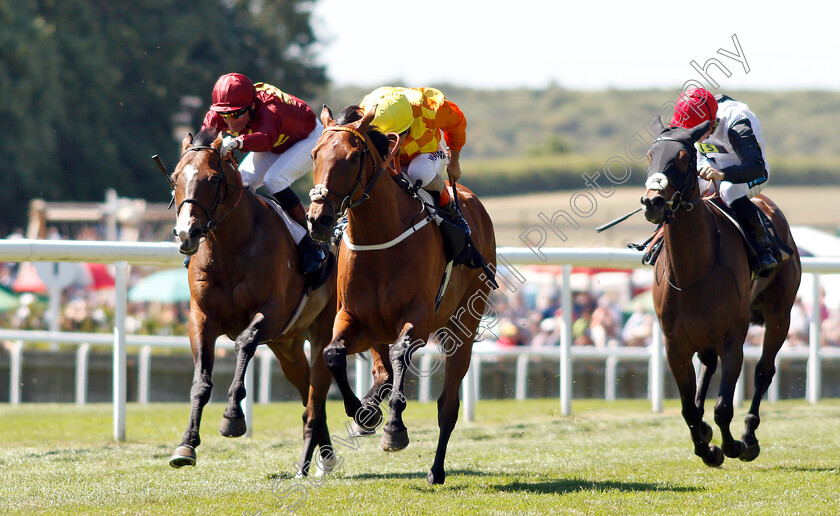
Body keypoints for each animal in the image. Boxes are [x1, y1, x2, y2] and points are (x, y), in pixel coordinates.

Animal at [167, 126, 338, 476]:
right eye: (175, 177)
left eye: (212, 179)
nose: (187, 233)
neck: (229, 247)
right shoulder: (200, 318)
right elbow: (200, 382)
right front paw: (186, 445)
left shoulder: (271, 313)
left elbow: (244, 343)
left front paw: (232, 418)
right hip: (287, 346)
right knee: (308, 395)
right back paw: (322, 457)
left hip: (319, 334)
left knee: (316, 393)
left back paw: (320, 460)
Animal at [306, 105, 492, 484]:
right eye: (315, 154)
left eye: (352, 157)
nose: (318, 219)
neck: (379, 237)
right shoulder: (352, 316)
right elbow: (333, 354)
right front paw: (363, 413)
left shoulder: (418, 319)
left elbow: (401, 354)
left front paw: (393, 429)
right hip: (378, 330)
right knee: (383, 372)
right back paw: (368, 410)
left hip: (462, 326)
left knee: (447, 405)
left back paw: (436, 469)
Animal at [644, 120, 800, 468]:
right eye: (650, 154)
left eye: (684, 157)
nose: (652, 202)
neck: (692, 272)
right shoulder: (674, 345)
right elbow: (688, 409)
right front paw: (707, 448)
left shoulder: (732, 337)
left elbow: (724, 407)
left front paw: (732, 446)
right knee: (706, 366)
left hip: (779, 315)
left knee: (764, 370)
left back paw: (749, 435)